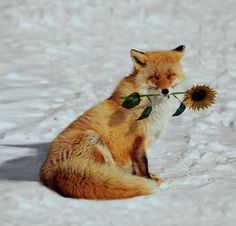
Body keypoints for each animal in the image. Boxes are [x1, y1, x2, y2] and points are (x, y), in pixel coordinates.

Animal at [39, 44, 186, 200]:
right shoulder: (138, 139)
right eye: (154, 77)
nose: (165, 91)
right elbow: (143, 164)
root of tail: (49, 170)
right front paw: (148, 179)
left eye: (170, 75)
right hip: (94, 140)